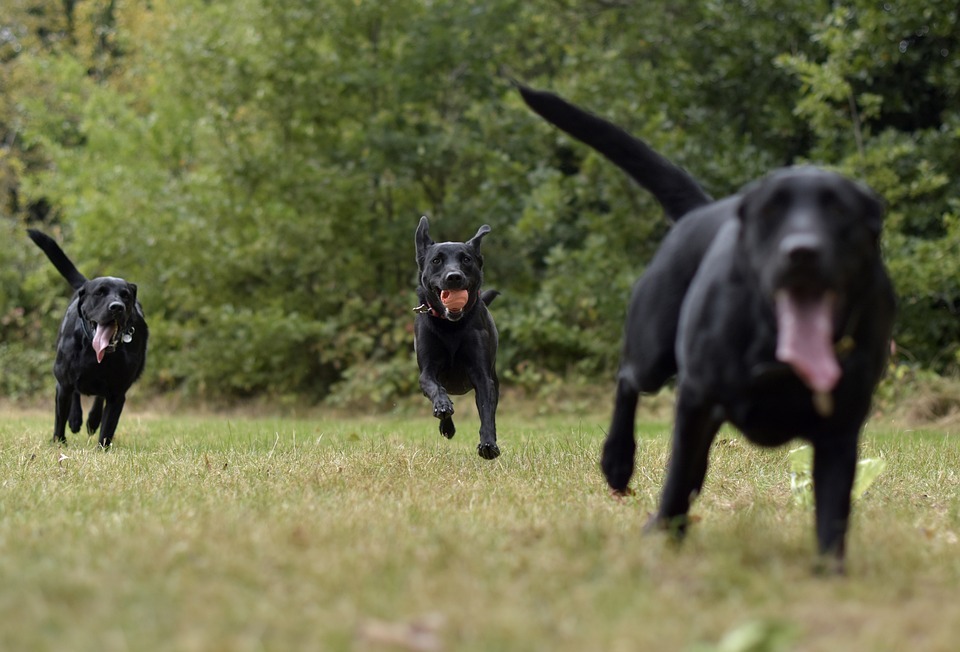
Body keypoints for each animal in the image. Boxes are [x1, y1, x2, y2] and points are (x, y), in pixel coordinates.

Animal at [27, 229, 148, 448]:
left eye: (125, 295)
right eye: (99, 293)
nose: (117, 307)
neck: (97, 354)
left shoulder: (118, 393)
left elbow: (108, 427)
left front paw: (102, 448)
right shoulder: (63, 383)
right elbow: (60, 417)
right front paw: (59, 442)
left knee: (98, 399)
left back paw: (92, 420)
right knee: (75, 396)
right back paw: (76, 420)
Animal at [412, 215, 502, 458]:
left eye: (466, 259)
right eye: (436, 261)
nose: (454, 277)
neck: (451, 326)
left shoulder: (482, 375)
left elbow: (486, 411)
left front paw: (488, 444)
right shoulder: (427, 371)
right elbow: (434, 387)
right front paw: (443, 406)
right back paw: (446, 424)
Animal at [520, 83, 896, 572]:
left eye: (840, 212)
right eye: (771, 212)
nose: (802, 251)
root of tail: (702, 209)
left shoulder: (840, 429)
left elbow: (834, 510)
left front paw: (830, 573)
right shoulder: (696, 400)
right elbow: (677, 477)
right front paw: (663, 533)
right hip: (654, 350)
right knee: (628, 381)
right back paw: (618, 462)